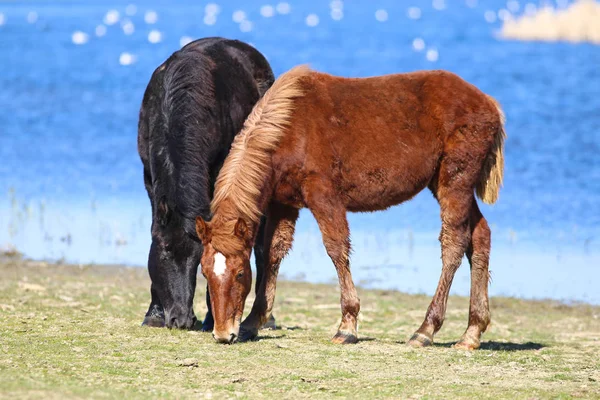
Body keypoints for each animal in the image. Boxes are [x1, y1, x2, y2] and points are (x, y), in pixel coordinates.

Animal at [137, 38, 274, 328]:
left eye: (198, 260)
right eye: (164, 253)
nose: (181, 319)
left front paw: (214, 316)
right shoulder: (149, 179)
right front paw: (153, 314)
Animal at [195, 64, 504, 348]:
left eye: (239, 273)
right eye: (205, 272)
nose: (223, 334)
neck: (289, 129)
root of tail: (489, 102)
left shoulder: (324, 196)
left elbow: (336, 248)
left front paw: (347, 326)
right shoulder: (283, 204)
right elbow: (273, 253)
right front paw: (253, 321)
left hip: (455, 181)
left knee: (454, 242)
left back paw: (425, 330)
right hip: (441, 183)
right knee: (480, 236)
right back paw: (472, 332)